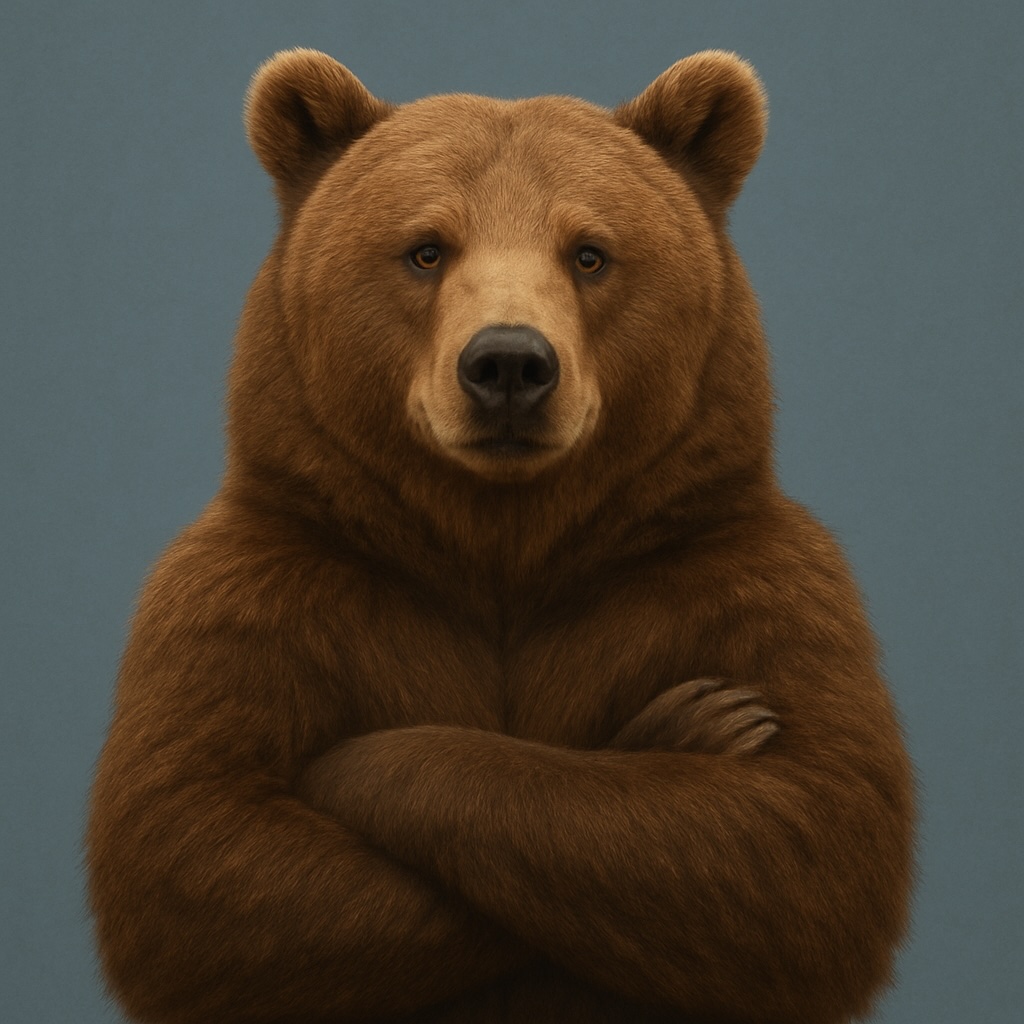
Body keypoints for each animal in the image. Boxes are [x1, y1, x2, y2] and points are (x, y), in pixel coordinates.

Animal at [86, 48, 915, 1024]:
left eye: (590, 252)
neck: (502, 544)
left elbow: (801, 832)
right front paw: (694, 722)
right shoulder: (257, 591)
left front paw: (717, 717)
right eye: (425, 248)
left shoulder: (747, 578)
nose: (510, 362)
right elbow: (202, 848)